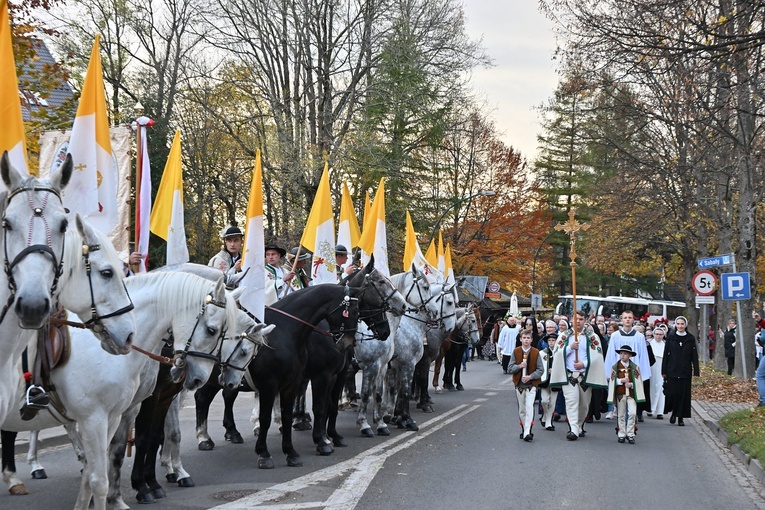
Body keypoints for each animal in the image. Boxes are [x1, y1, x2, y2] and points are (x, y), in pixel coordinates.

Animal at [0, 272, 236, 510]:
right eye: (212, 330)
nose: (199, 378)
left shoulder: (122, 412)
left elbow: (113, 456)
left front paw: (117, 497)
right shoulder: (99, 417)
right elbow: (110, 466)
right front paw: (141, 487)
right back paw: (18, 476)